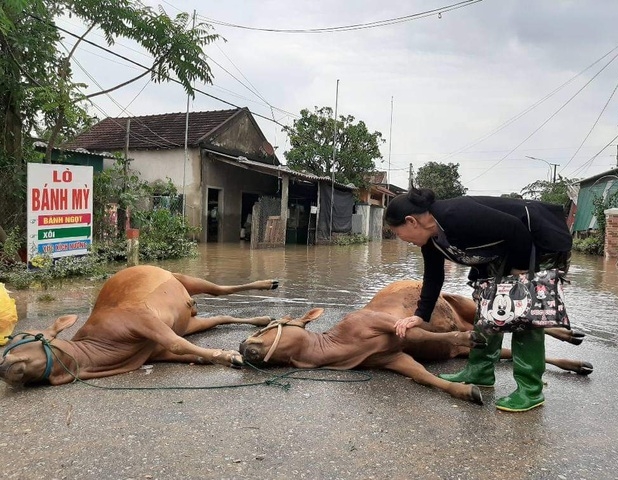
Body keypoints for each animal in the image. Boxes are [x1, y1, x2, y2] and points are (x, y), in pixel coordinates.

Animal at [0, 266, 276, 386]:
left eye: (20, 339)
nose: (2, 367)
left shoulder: (139, 318)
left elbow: (176, 344)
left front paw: (231, 355)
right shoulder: (155, 350)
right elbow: (187, 352)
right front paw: (218, 356)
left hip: (182, 278)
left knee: (220, 290)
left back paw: (268, 284)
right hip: (190, 321)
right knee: (219, 317)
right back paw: (263, 319)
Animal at [238, 280, 588, 406]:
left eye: (268, 325)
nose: (241, 346)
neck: (340, 345)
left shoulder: (386, 323)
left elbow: (426, 335)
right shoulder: (390, 358)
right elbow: (422, 375)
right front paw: (466, 391)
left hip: (463, 302)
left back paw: (569, 333)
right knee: (507, 350)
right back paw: (577, 362)